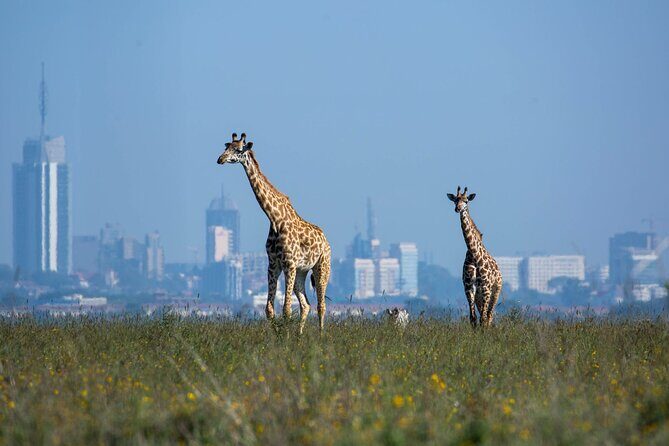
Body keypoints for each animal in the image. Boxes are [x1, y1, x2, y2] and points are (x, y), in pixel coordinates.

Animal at [217, 133, 332, 333]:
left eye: (238, 150)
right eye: (226, 147)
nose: (220, 159)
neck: (275, 219)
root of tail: (326, 240)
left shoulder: (289, 264)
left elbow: (286, 309)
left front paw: (285, 338)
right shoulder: (273, 265)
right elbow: (269, 310)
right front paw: (278, 337)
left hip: (322, 267)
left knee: (321, 305)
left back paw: (321, 335)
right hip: (302, 271)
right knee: (306, 305)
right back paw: (300, 336)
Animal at [447, 186, 502, 327]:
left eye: (466, 201)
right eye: (455, 200)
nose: (457, 209)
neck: (474, 255)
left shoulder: (486, 287)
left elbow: (483, 318)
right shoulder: (468, 287)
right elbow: (473, 318)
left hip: (495, 291)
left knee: (489, 316)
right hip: (479, 295)